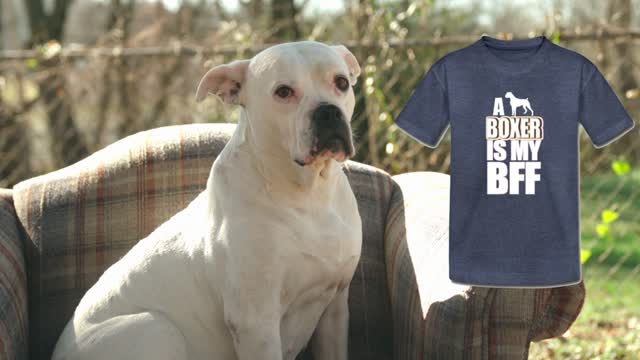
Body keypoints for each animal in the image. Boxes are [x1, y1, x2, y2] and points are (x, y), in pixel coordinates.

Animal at [52, 41, 362, 360]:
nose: (328, 112)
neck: (309, 194)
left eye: (341, 82)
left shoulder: (335, 307)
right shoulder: (255, 321)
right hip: (157, 328)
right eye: (284, 92)